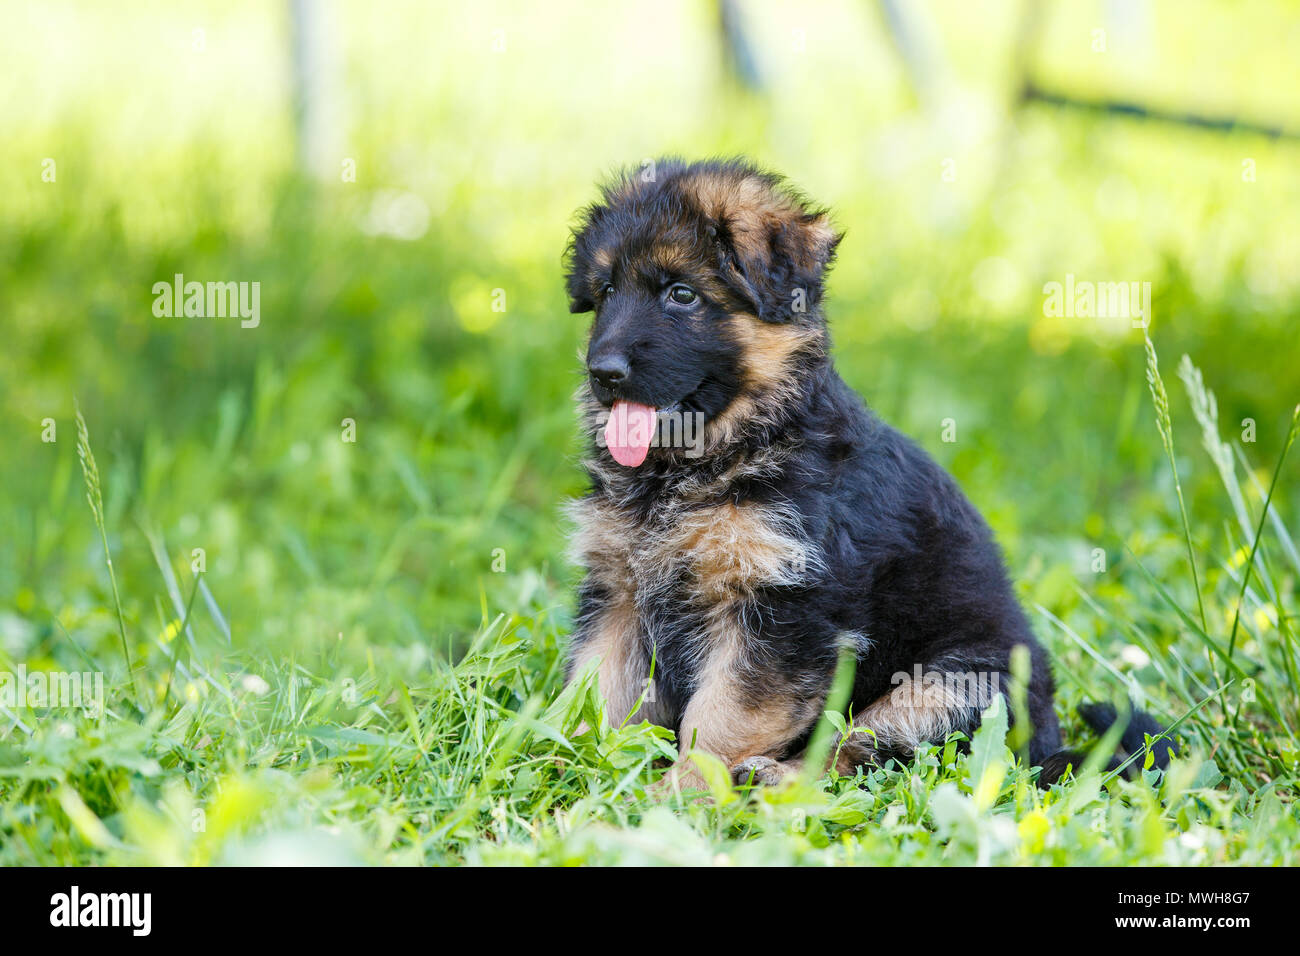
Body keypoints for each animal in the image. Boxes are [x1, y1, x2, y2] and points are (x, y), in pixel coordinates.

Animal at [564, 157, 1175, 790]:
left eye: (681, 294)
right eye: (605, 291)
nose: (601, 372)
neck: (718, 454)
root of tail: (1047, 748)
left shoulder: (783, 611)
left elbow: (722, 717)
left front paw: (682, 791)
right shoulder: (619, 593)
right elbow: (593, 689)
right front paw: (563, 766)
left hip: (950, 685)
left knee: (854, 755)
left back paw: (771, 778)